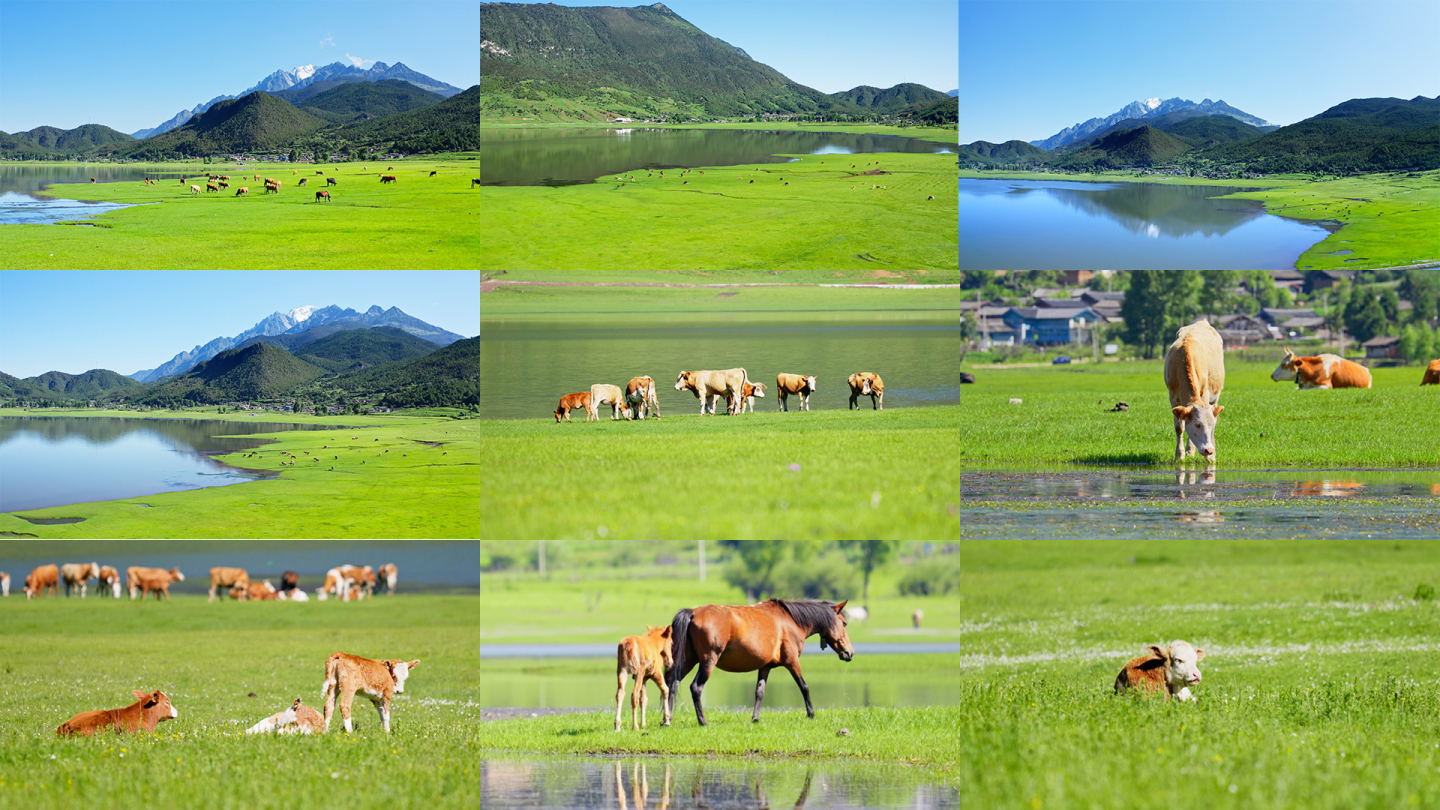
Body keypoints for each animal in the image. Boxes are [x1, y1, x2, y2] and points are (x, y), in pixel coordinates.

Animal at [665, 593, 852, 726]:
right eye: (844, 623)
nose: (849, 652)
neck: (791, 621)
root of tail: (693, 613)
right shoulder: (792, 662)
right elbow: (804, 687)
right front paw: (811, 714)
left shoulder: (765, 667)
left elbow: (759, 692)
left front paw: (755, 718)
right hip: (708, 661)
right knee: (696, 687)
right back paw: (702, 721)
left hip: (688, 661)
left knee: (671, 684)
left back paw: (667, 720)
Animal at [1157, 319, 1226, 464]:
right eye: (1197, 424)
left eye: (1211, 424)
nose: (1208, 450)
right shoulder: (1173, 397)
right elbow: (1179, 427)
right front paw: (1180, 455)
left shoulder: (1205, 394)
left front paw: (1207, 457)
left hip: (1215, 397)